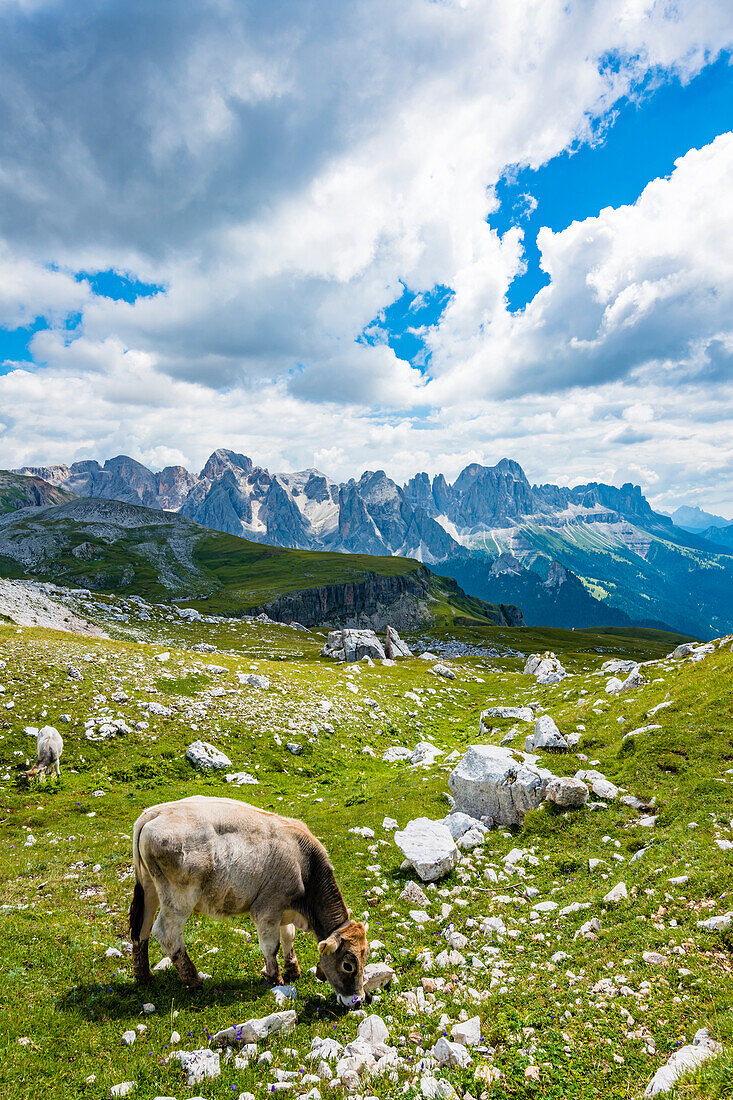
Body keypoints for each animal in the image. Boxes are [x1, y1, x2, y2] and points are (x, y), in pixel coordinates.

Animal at [129, 796, 367, 1007]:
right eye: (348, 965)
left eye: (365, 959)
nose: (358, 1000)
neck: (304, 863)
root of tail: (156, 811)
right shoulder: (267, 909)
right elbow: (271, 946)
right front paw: (275, 978)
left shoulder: (284, 910)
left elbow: (288, 937)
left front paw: (293, 969)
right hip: (179, 898)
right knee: (166, 933)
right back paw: (193, 980)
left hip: (150, 888)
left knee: (141, 929)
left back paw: (144, 976)